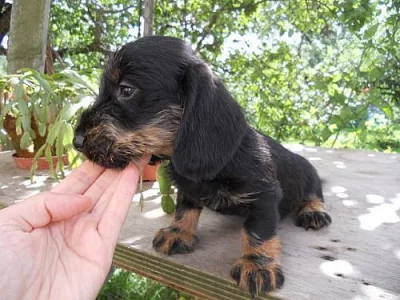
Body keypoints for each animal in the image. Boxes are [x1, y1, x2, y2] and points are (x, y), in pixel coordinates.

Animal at [73, 35, 332, 298]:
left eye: (126, 90)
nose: (77, 141)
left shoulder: (265, 196)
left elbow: (258, 230)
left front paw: (257, 265)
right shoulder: (187, 188)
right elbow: (185, 210)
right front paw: (178, 233)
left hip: (308, 174)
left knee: (314, 193)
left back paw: (313, 212)